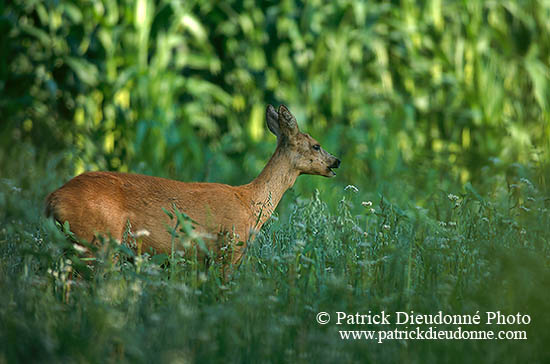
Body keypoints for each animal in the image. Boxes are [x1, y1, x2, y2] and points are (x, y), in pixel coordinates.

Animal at [45, 104, 340, 268]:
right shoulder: (230, 246)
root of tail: (53, 199)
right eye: (316, 145)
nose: (335, 161)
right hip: (97, 240)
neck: (249, 201)